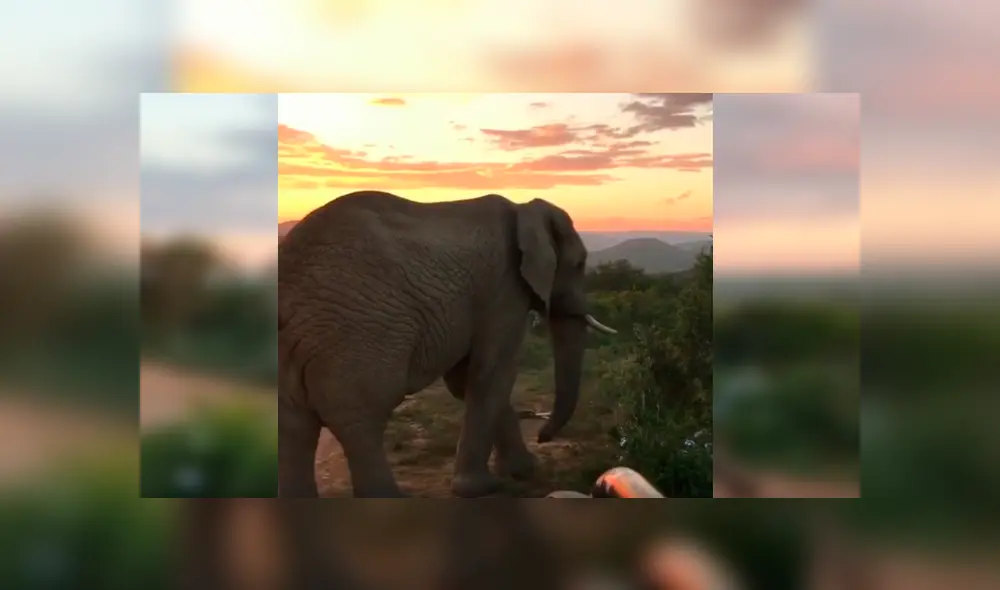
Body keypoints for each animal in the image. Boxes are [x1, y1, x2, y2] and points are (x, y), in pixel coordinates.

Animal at [278, 190, 616, 498]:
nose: (544, 436)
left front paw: (522, 472)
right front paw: (484, 487)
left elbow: (465, 381)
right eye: (579, 264)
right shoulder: (503, 288)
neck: (523, 209)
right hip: (358, 333)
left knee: (294, 426)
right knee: (361, 420)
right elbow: (493, 373)